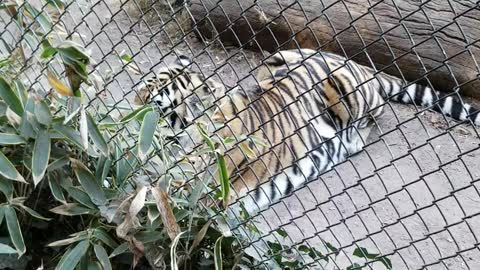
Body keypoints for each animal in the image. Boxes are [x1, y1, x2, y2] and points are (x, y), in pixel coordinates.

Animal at [134, 49, 480, 217]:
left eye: (154, 105)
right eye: (141, 88)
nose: (124, 113)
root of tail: (363, 67)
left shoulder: (197, 190)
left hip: (347, 89)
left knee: (376, 112)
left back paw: (351, 141)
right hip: (279, 57)